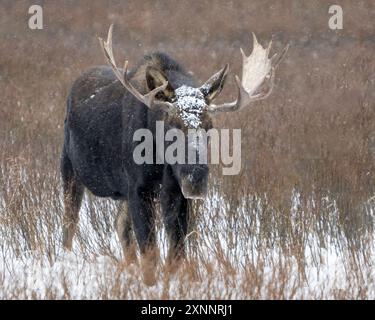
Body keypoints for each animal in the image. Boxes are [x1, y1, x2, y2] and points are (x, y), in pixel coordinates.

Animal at [61, 25, 288, 284]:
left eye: (210, 126)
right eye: (172, 125)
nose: (196, 179)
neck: (159, 160)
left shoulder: (175, 193)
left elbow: (176, 254)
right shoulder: (139, 188)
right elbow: (150, 253)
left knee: (120, 225)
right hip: (69, 168)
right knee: (69, 224)